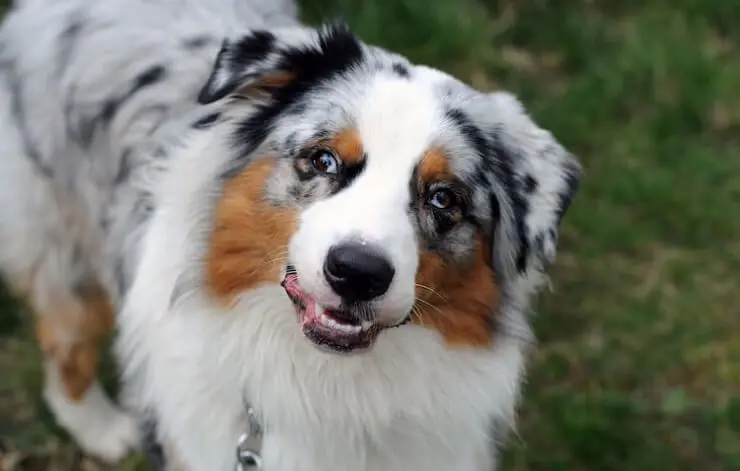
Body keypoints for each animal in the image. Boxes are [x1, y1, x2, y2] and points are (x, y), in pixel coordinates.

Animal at [0, 0, 580, 471]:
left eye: (444, 199)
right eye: (322, 159)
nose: (358, 273)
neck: (328, 384)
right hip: (62, 245)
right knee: (64, 343)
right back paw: (102, 429)